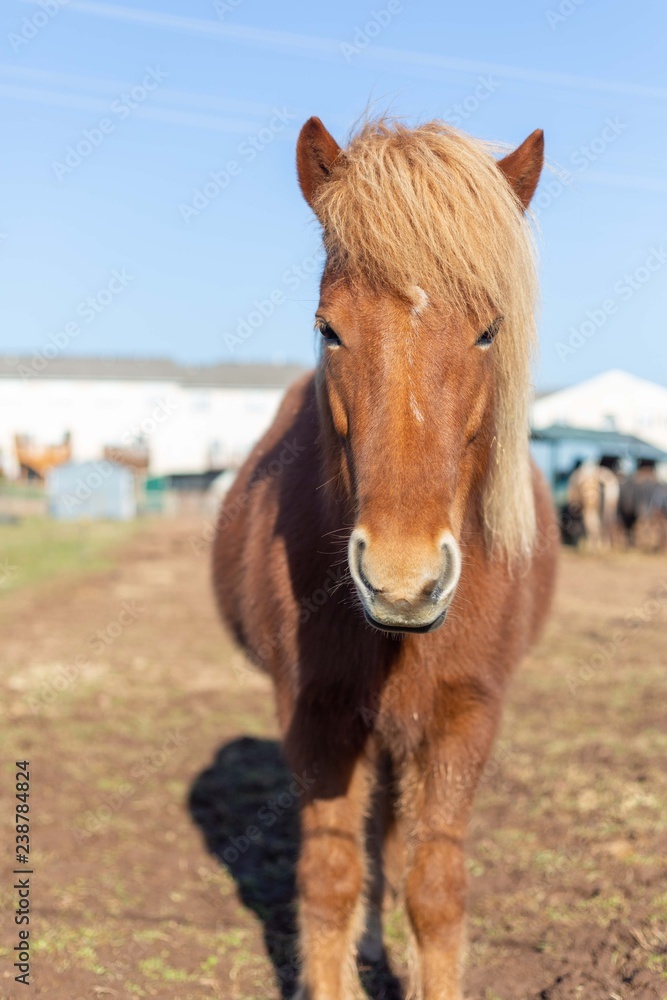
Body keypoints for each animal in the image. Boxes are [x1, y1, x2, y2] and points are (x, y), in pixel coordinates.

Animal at [213, 115, 559, 1000]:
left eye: (487, 329)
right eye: (328, 328)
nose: (404, 582)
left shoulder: (465, 716)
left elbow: (434, 889)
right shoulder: (316, 713)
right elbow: (330, 882)